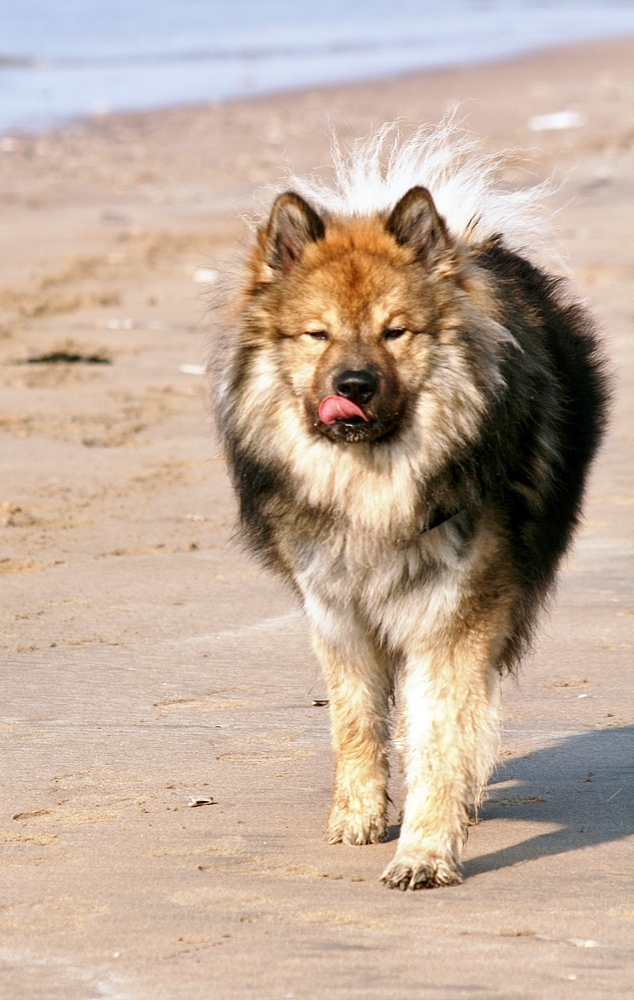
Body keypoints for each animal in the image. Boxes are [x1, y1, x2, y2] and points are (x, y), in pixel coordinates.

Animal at [214, 125, 608, 892]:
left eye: (395, 332)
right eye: (318, 334)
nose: (354, 385)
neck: (374, 490)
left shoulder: (453, 619)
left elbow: (441, 735)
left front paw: (425, 850)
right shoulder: (336, 612)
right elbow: (355, 722)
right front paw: (358, 816)